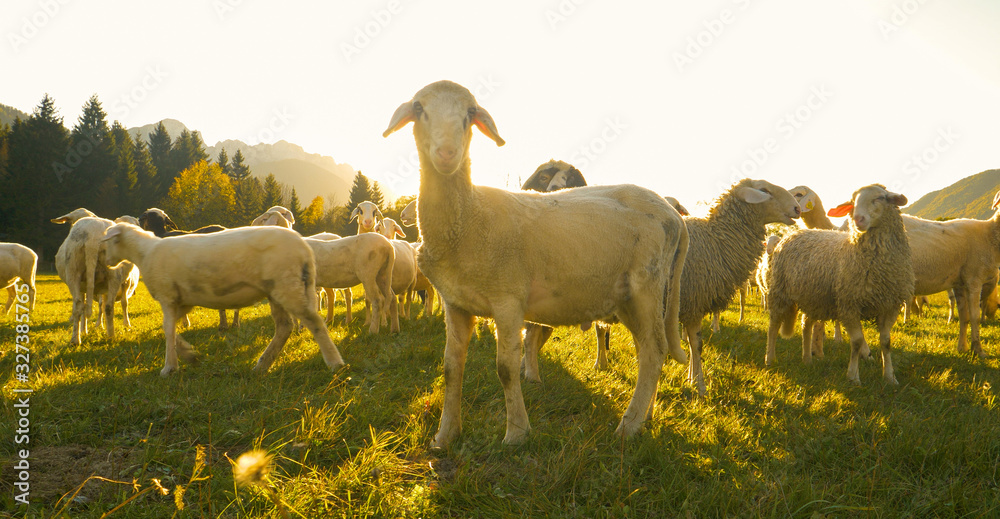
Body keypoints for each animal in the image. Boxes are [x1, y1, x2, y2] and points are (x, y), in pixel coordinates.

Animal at [101, 222, 344, 374]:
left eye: (109, 241)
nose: (105, 261)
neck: (144, 253)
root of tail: (305, 249)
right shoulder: (183, 301)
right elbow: (169, 329)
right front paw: (189, 355)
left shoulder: (167, 296)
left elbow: (168, 330)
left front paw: (169, 367)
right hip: (279, 289)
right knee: (285, 327)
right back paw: (262, 365)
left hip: (288, 286)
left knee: (315, 322)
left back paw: (335, 363)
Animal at [382, 80, 688, 446]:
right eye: (418, 108)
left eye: (470, 113)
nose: (446, 154)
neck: (469, 218)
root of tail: (672, 214)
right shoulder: (455, 304)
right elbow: (451, 368)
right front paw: (445, 436)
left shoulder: (508, 300)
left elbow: (505, 369)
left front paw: (516, 432)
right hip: (626, 297)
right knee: (647, 351)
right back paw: (645, 416)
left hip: (647, 285)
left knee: (655, 350)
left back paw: (628, 426)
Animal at [764, 185, 916, 384]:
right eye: (852, 202)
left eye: (880, 198)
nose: (858, 219)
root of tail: (794, 234)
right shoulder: (849, 304)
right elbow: (857, 341)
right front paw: (853, 377)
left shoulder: (890, 305)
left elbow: (886, 341)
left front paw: (890, 377)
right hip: (779, 291)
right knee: (773, 325)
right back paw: (770, 359)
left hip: (813, 298)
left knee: (806, 324)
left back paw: (807, 359)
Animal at [904, 193, 1000, 360]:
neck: (989, 235)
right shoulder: (974, 279)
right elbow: (974, 316)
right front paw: (979, 350)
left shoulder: (959, 284)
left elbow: (964, 317)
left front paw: (962, 348)